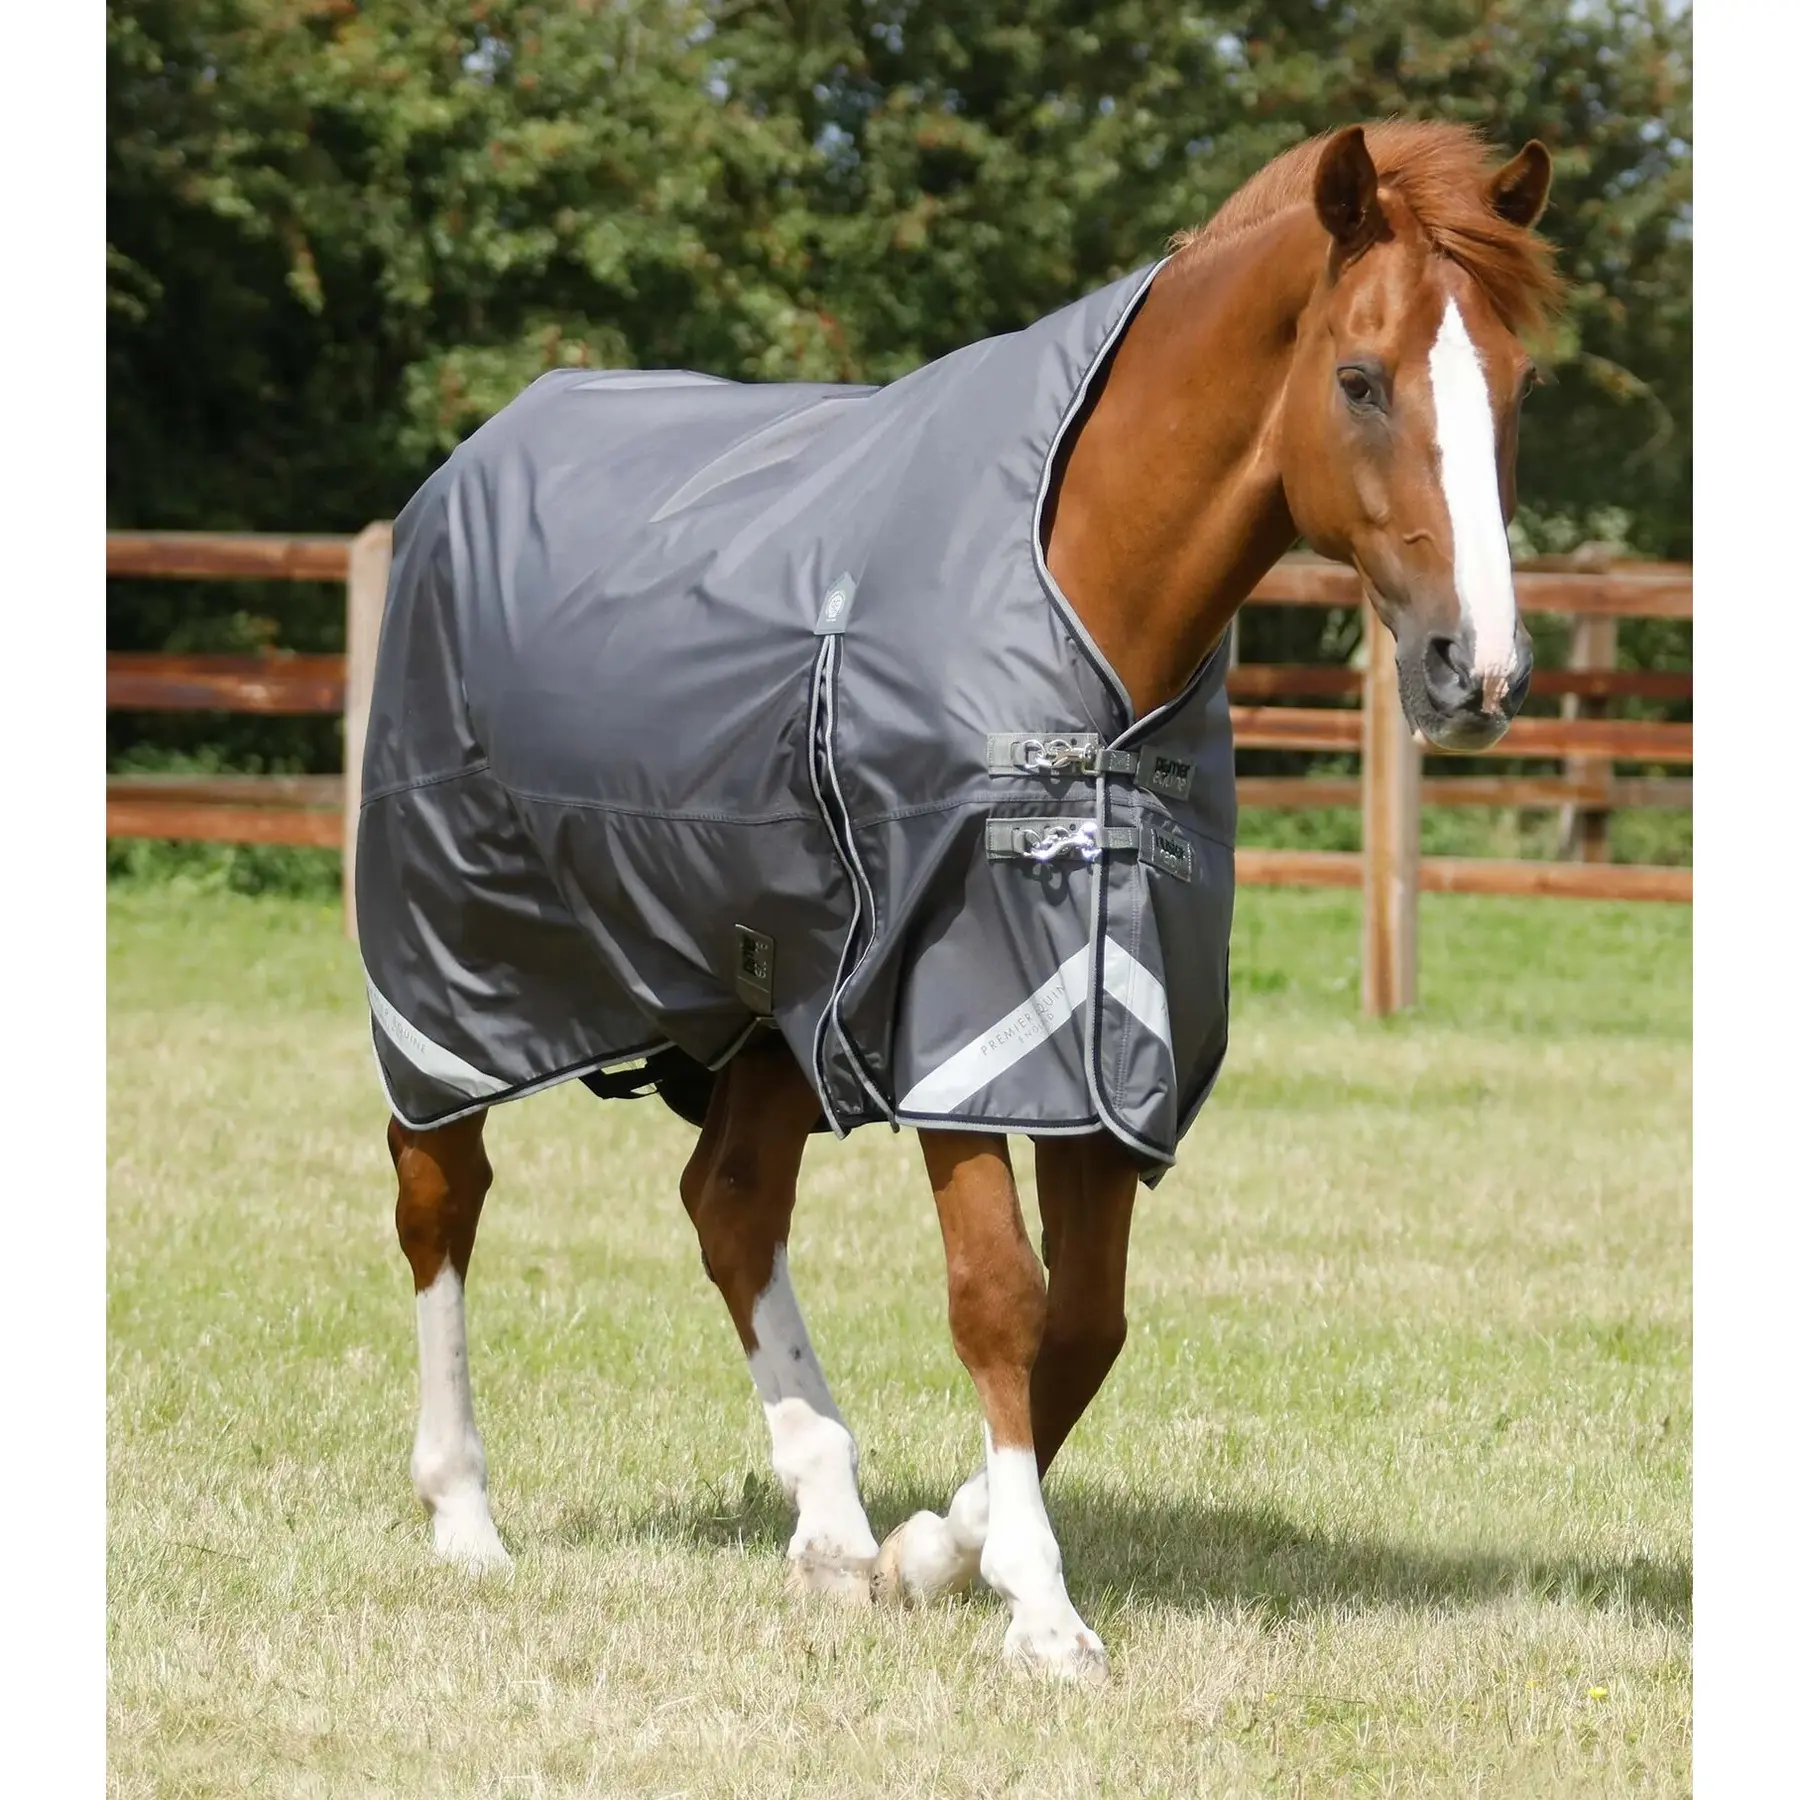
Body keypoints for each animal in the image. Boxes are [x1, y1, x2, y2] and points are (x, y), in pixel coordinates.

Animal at [368, 121, 1559, 1683]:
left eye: (1521, 386)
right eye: (1361, 379)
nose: (1475, 670)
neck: (1087, 614)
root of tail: (468, 467)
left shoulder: (1103, 1035)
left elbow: (1087, 1325)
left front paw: (933, 1551)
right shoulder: (958, 1017)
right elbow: (1001, 1299)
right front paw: (1040, 1608)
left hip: (773, 997)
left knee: (729, 1203)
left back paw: (828, 1526)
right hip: (456, 968)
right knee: (441, 1196)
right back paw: (464, 1518)